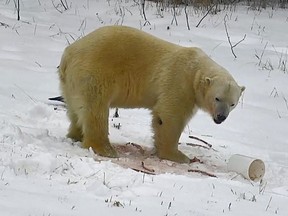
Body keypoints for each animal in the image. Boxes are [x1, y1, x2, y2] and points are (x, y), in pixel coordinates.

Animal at [58, 25, 245, 164]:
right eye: (217, 98)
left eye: (233, 103)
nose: (221, 117)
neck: (196, 69)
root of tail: (69, 53)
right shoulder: (179, 81)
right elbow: (170, 116)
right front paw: (178, 156)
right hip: (95, 72)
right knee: (96, 110)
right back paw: (105, 149)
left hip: (69, 83)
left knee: (75, 109)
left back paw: (75, 136)